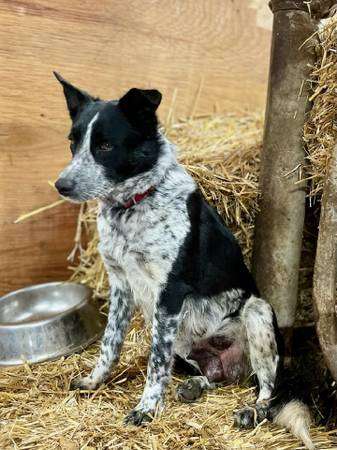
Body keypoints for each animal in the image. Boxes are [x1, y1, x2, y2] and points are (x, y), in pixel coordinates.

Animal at [53, 74, 312, 446]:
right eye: (73, 143)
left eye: (104, 146)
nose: (61, 185)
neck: (131, 206)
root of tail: (233, 363)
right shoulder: (121, 286)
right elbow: (110, 343)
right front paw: (94, 380)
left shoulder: (169, 293)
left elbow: (155, 364)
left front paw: (146, 409)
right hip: (187, 345)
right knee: (218, 377)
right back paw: (196, 385)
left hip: (258, 313)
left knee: (267, 388)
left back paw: (252, 410)